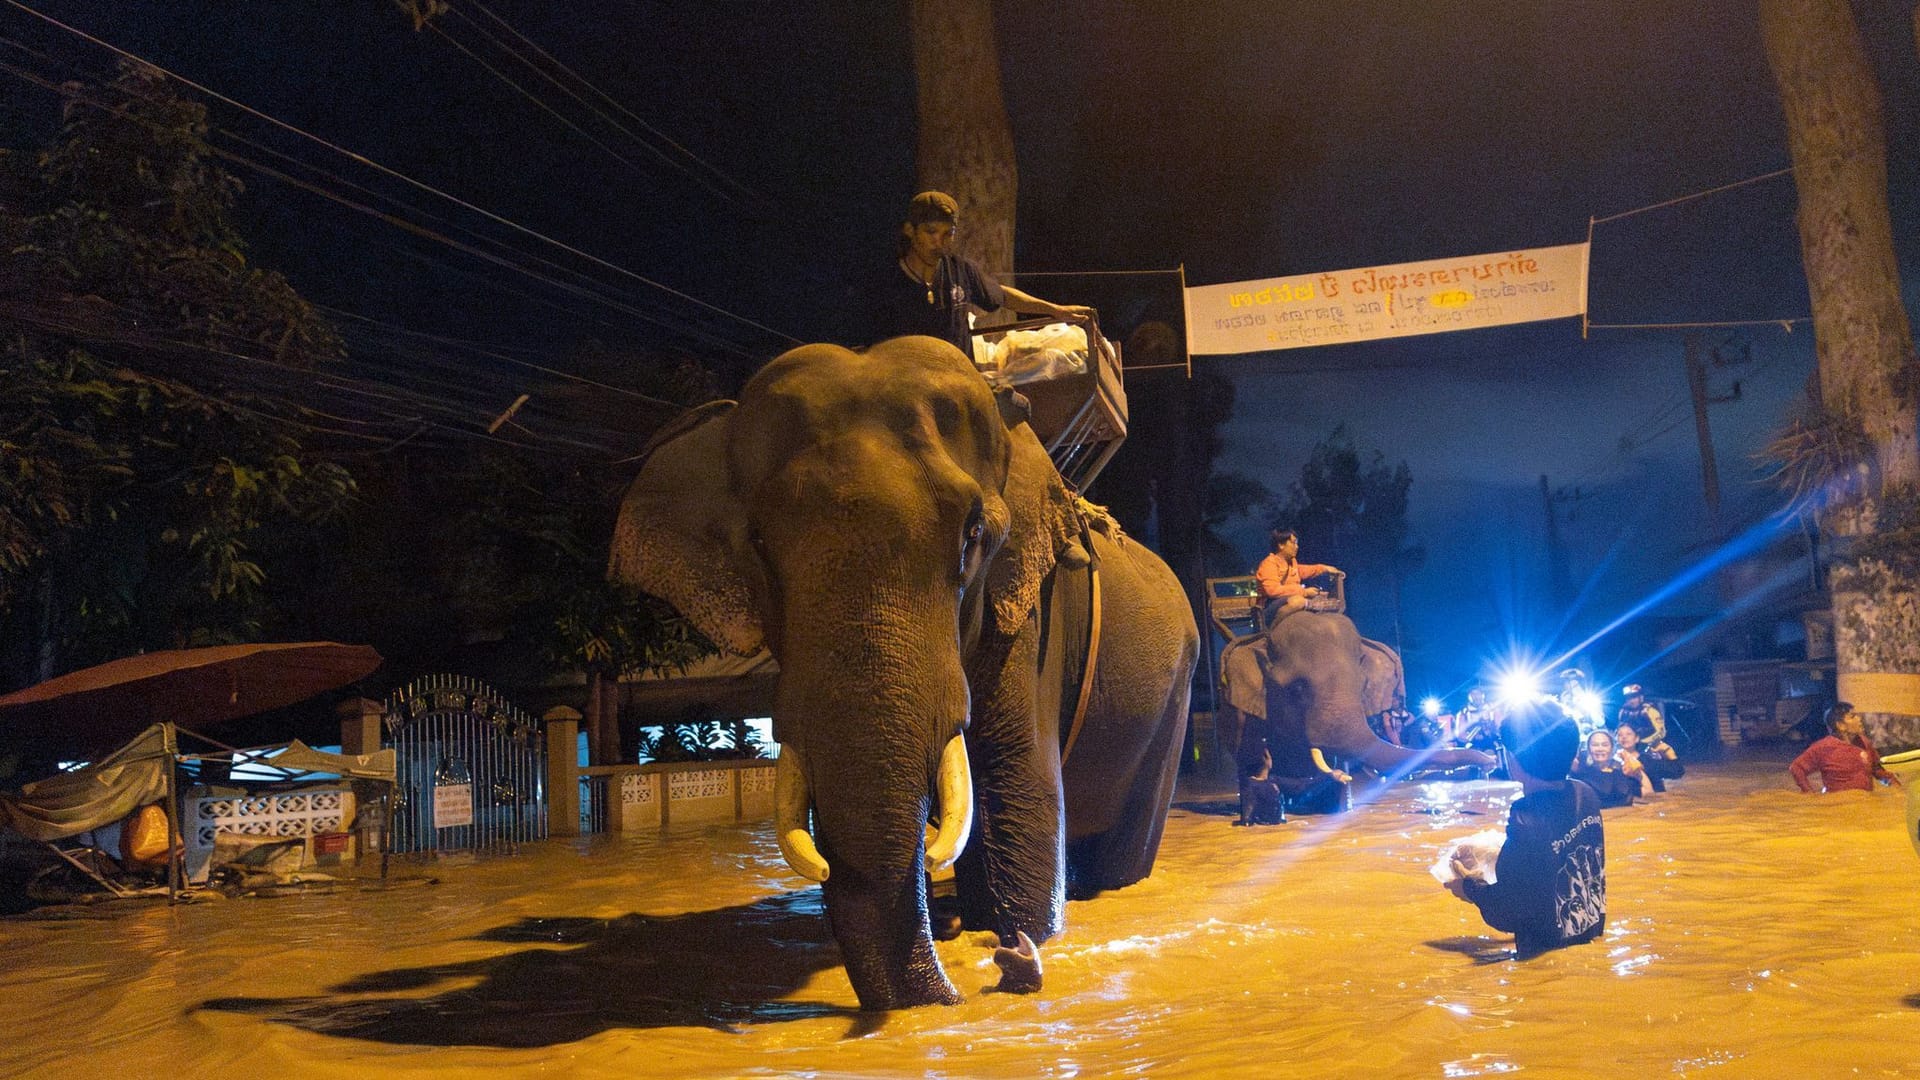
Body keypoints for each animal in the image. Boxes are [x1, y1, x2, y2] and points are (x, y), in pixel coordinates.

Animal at [606, 332, 1190, 1006]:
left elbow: (1018, 785)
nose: (1010, 961)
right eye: (757, 543)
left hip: (1176, 693)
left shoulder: (1033, 611)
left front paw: (1022, 934)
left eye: (973, 533)